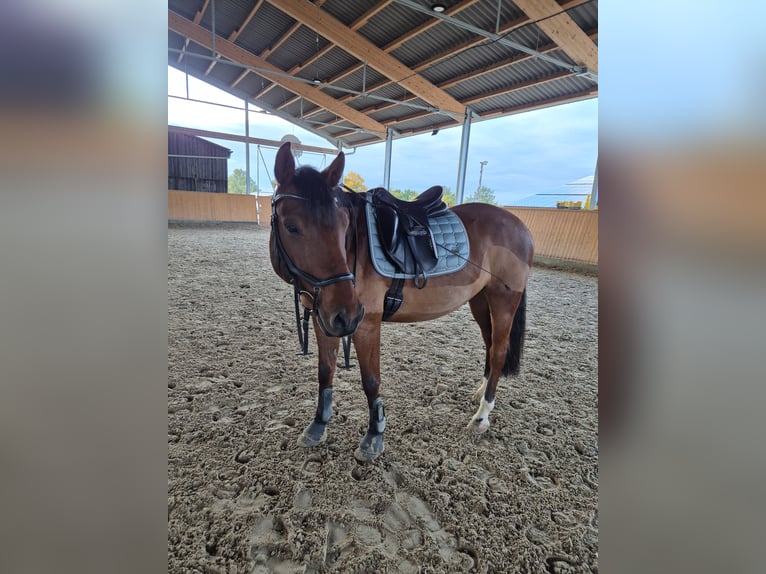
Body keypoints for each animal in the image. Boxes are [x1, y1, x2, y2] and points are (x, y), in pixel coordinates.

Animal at [269, 142, 534, 462]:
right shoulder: (325, 319)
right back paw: (480, 391)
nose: (348, 312)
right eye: (291, 226)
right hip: (481, 302)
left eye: (344, 225)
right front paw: (318, 425)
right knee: (491, 345)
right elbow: (325, 372)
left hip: (503, 301)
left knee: (498, 352)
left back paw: (482, 415)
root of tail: (520, 226)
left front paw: (374, 435)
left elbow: (371, 380)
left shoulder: (366, 324)